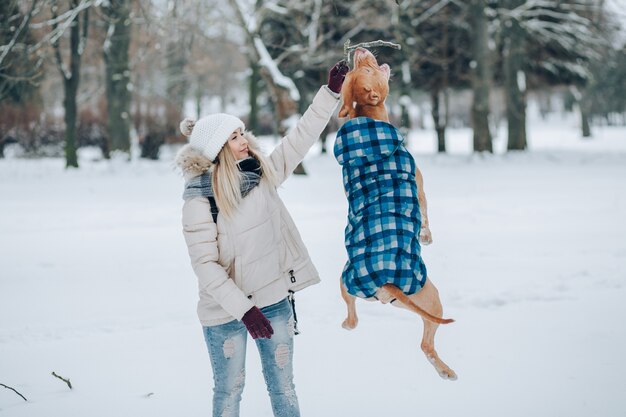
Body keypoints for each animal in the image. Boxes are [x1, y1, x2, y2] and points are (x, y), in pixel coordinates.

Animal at [336, 47, 454, 378]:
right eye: (367, 68)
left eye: (357, 70)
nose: (359, 50)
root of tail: (385, 282)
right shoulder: (420, 185)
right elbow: (425, 213)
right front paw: (426, 237)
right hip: (431, 297)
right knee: (426, 343)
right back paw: (446, 370)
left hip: (348, 282)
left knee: (354, 318)